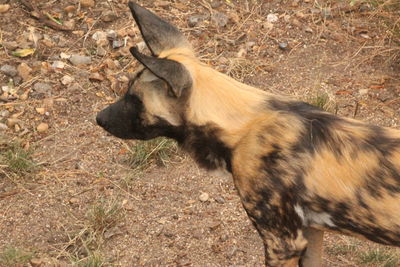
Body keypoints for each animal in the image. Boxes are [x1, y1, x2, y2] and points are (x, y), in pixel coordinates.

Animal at [97, 1, 400, 266]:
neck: (242, 127)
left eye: (134, 99)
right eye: (127, 93)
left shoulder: (283, 243)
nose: (99, 118)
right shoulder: (310, 232)